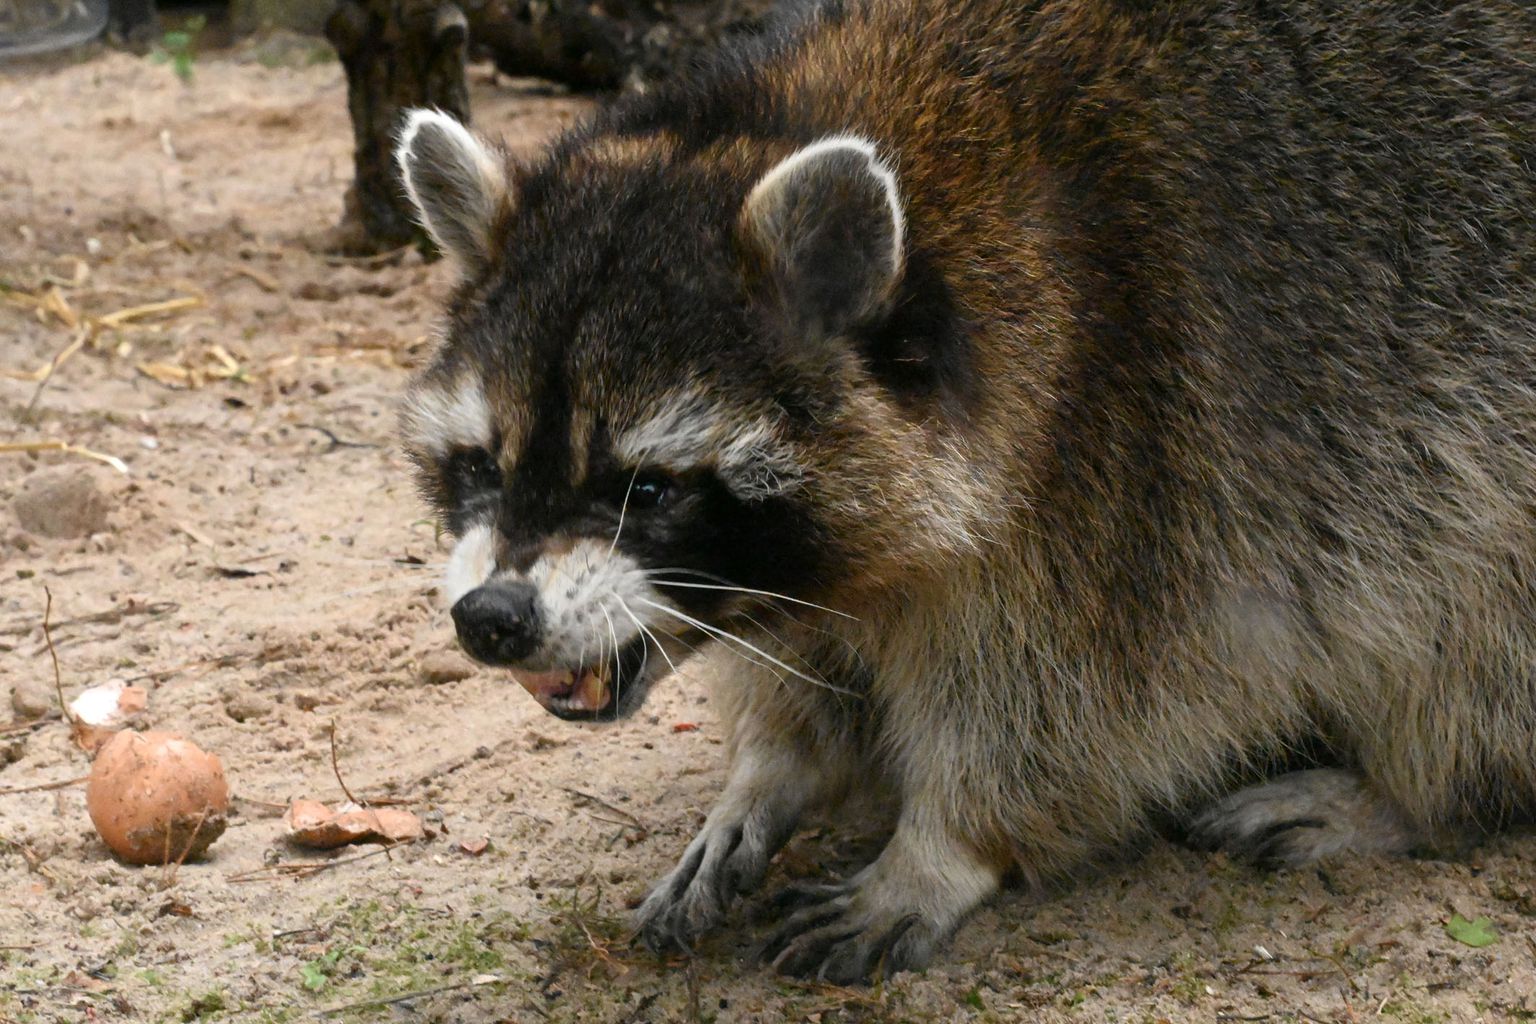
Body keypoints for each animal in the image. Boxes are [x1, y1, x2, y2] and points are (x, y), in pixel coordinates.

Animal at [393, 0, 1536, 982]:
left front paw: (941, 846)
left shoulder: (1133, 440)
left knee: (1472, 617)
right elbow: (810, 662)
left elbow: (1084, 706)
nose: (492, 618)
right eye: (482, 465)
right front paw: (770, 766)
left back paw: (1414, 790)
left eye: (649, 487)